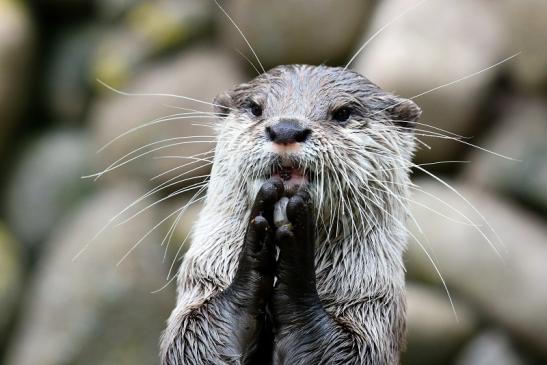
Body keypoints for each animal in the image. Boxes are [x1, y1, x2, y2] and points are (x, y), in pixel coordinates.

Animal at [161, 64, 422, 362]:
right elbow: (192, 340)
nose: (286, 128)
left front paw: (296, 259)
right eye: (255, 108)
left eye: (343, 112)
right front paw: (256, 249)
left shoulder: (373, 308)